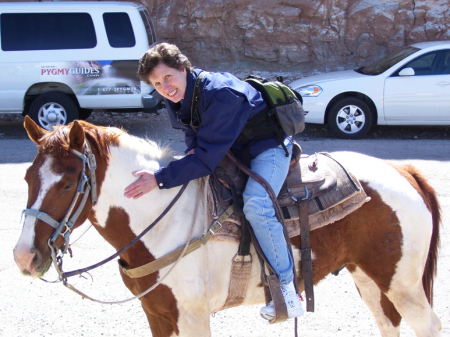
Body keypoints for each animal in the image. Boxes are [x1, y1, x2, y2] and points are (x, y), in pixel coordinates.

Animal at [12, 117, 442, 334]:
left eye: (67, 183)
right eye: (28, 178)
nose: (23, 256)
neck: (159, 221)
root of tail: (403, 171)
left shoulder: (193, 316)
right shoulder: (157, 314)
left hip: (402, 284)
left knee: (427, 325)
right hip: (368, 276)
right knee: (388, 322)